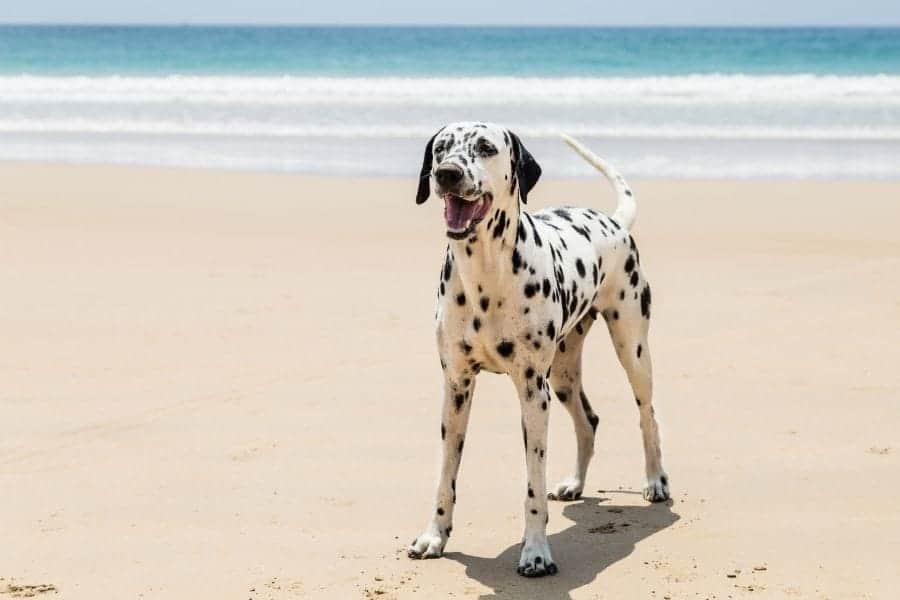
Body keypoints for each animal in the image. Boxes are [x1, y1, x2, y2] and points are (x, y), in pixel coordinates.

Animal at [408, 122, 668, 576]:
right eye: (441, 148)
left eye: (485, 147)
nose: (447, 174)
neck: (486, 274)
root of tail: (613, 222)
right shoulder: (456, 388)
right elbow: (445, 477)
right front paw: (434, 536)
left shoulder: (532, 393)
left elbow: (532, 484)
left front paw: (535, 551)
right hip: (562, 377)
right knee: (588, 421)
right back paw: (575, 484)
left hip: (632, 349)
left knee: (647, 415)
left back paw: (655, 481)